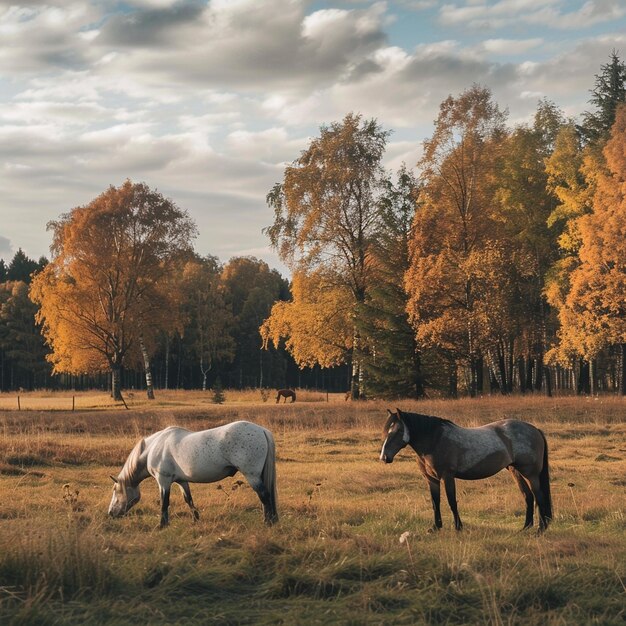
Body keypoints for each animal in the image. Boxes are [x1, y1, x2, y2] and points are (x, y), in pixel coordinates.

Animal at [108, 420, 278, 528]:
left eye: (115, 490)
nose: (110, 513)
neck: (153, 448)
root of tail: (261, 430)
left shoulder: (163, 481)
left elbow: (164, 502)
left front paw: (162, 525)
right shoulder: (181, 481)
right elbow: (188, 500)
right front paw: (195, 520)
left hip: (252, 476)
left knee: (264, 496)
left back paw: (267, 523)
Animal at [378, 410, 548, 532]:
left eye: (399, 431)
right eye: (386, 431)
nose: (384, 457)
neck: (435, 440)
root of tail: (535, 429)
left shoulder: (447, 477)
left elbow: (452, 501)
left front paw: (458, 527)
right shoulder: (431, 479)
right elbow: (435, 502)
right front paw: (436, 527)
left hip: (531, 474)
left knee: (539, 497)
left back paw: (540, 529)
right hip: (515, 471)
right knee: (528, 496)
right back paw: (525, 528)